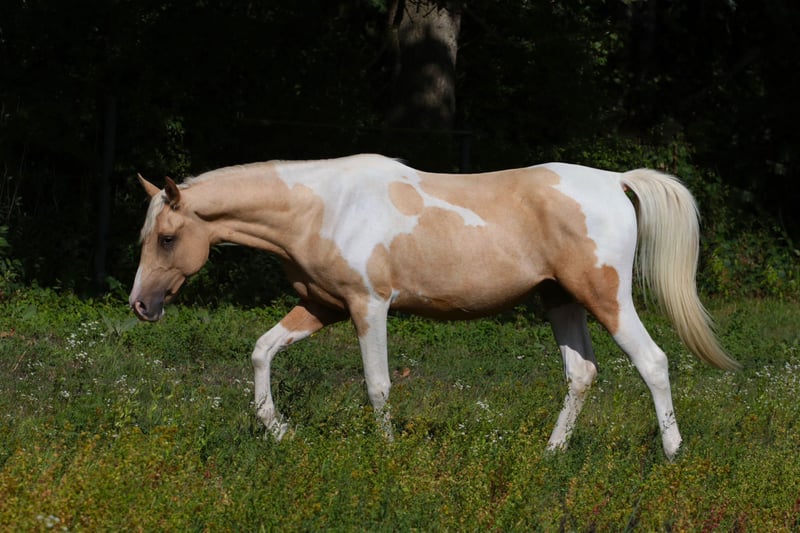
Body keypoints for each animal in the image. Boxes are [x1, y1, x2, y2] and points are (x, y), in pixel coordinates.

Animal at [129, 154, 738, 460]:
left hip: (605, 297)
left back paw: (672, 453)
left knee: (653, 362)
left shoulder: (368, 306)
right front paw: (279, 431)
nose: (140, 305)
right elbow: (261, 352)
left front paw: (387, 452)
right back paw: (551, 453)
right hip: (562, 303)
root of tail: (616, 182)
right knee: (582, 374)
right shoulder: (324, 307)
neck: (322, 206)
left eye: (166, 238)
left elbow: (377, 384)